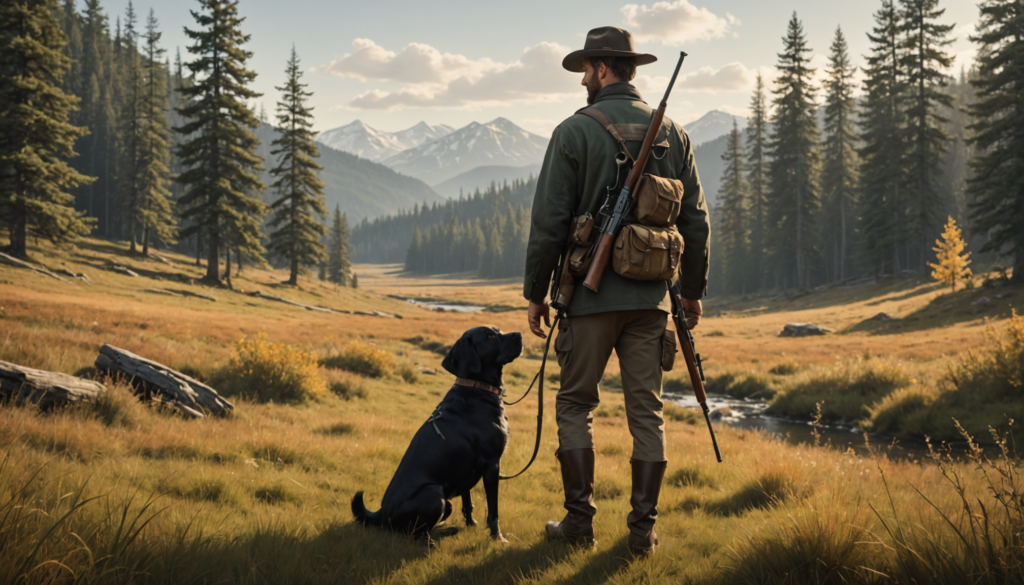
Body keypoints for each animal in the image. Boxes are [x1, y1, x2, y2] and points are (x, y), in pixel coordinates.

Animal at [354, 327, 528, 540]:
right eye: (490, 335)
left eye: (498, 330)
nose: (520, 334)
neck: (477, 388)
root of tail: (381, 514)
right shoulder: (492, 464)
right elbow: (493, 511)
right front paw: (498, 538)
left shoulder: (466, 469)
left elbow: (468, 502)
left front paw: (470, 525)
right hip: (435, 495)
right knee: (418, 536)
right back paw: (441, 535)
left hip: (446, 501)